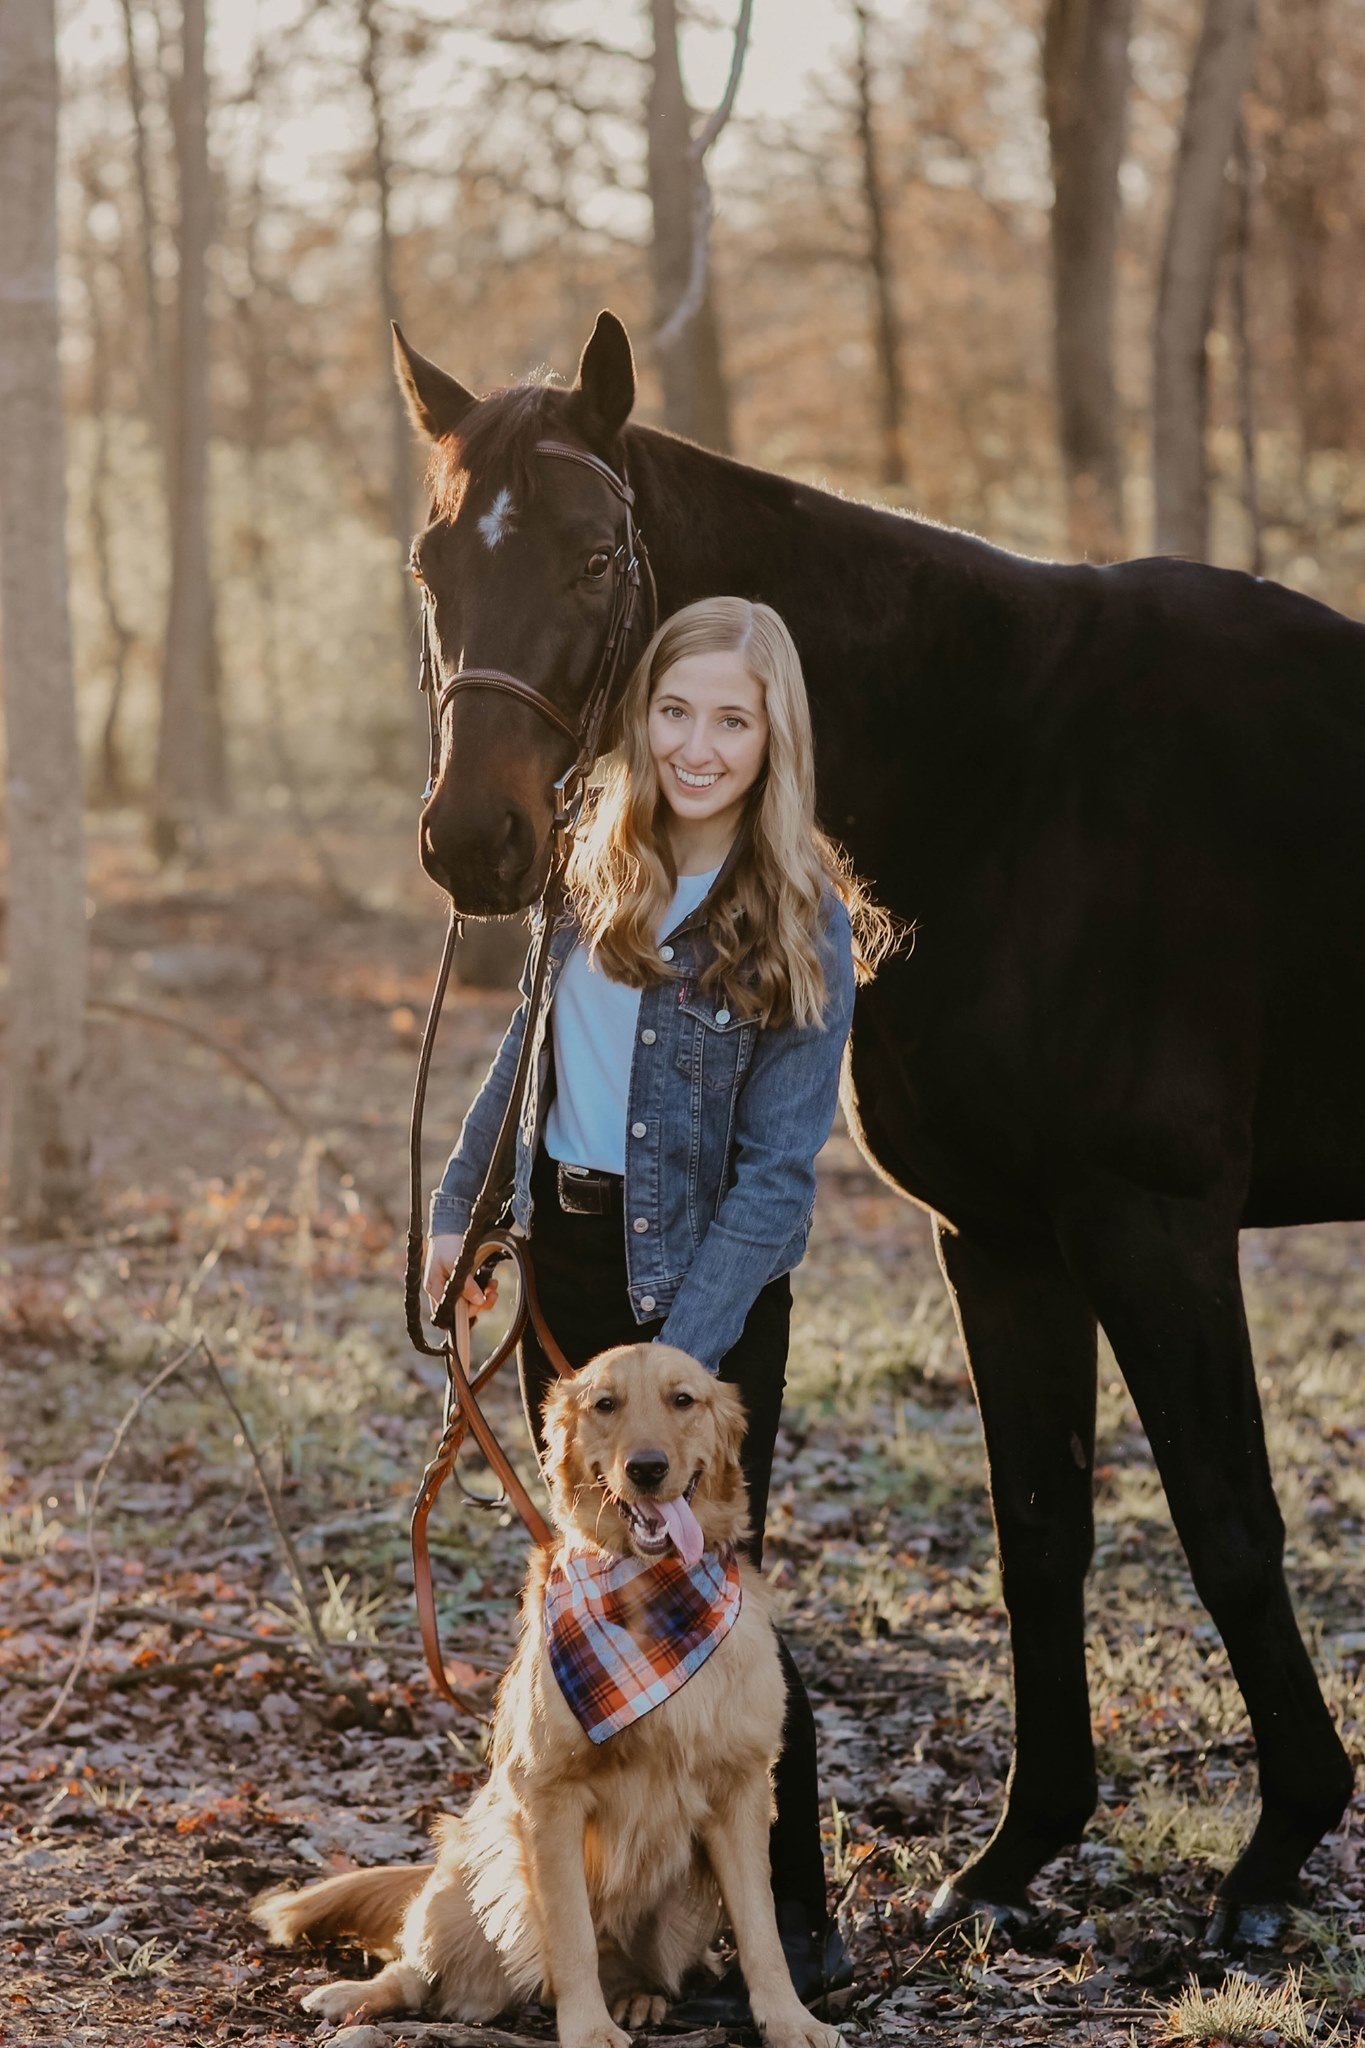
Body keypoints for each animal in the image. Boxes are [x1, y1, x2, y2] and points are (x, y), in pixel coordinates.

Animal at [250, 1343, 839, 2048]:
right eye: (606, 1404)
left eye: (683, 1400)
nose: (647, 1469)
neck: (653, 1599)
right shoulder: (549, 1794)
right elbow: (570, 1931)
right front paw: (586, 2027)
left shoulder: (741, 1792)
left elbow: (762, 1930)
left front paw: (790, 2019)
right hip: (464, 1874)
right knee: (415, 1972)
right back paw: (354, 1996)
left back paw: (639, 1999)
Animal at [392, 311, 1358, 1941]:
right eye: (430, 559)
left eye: (593, 556)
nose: (475, 838)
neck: (1012, 781)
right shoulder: (1004, 1238)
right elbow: (1040, 1529)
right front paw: (1017, 1853)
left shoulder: (1152, 1219)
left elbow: (1227, 1521)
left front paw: (1275, 1853)